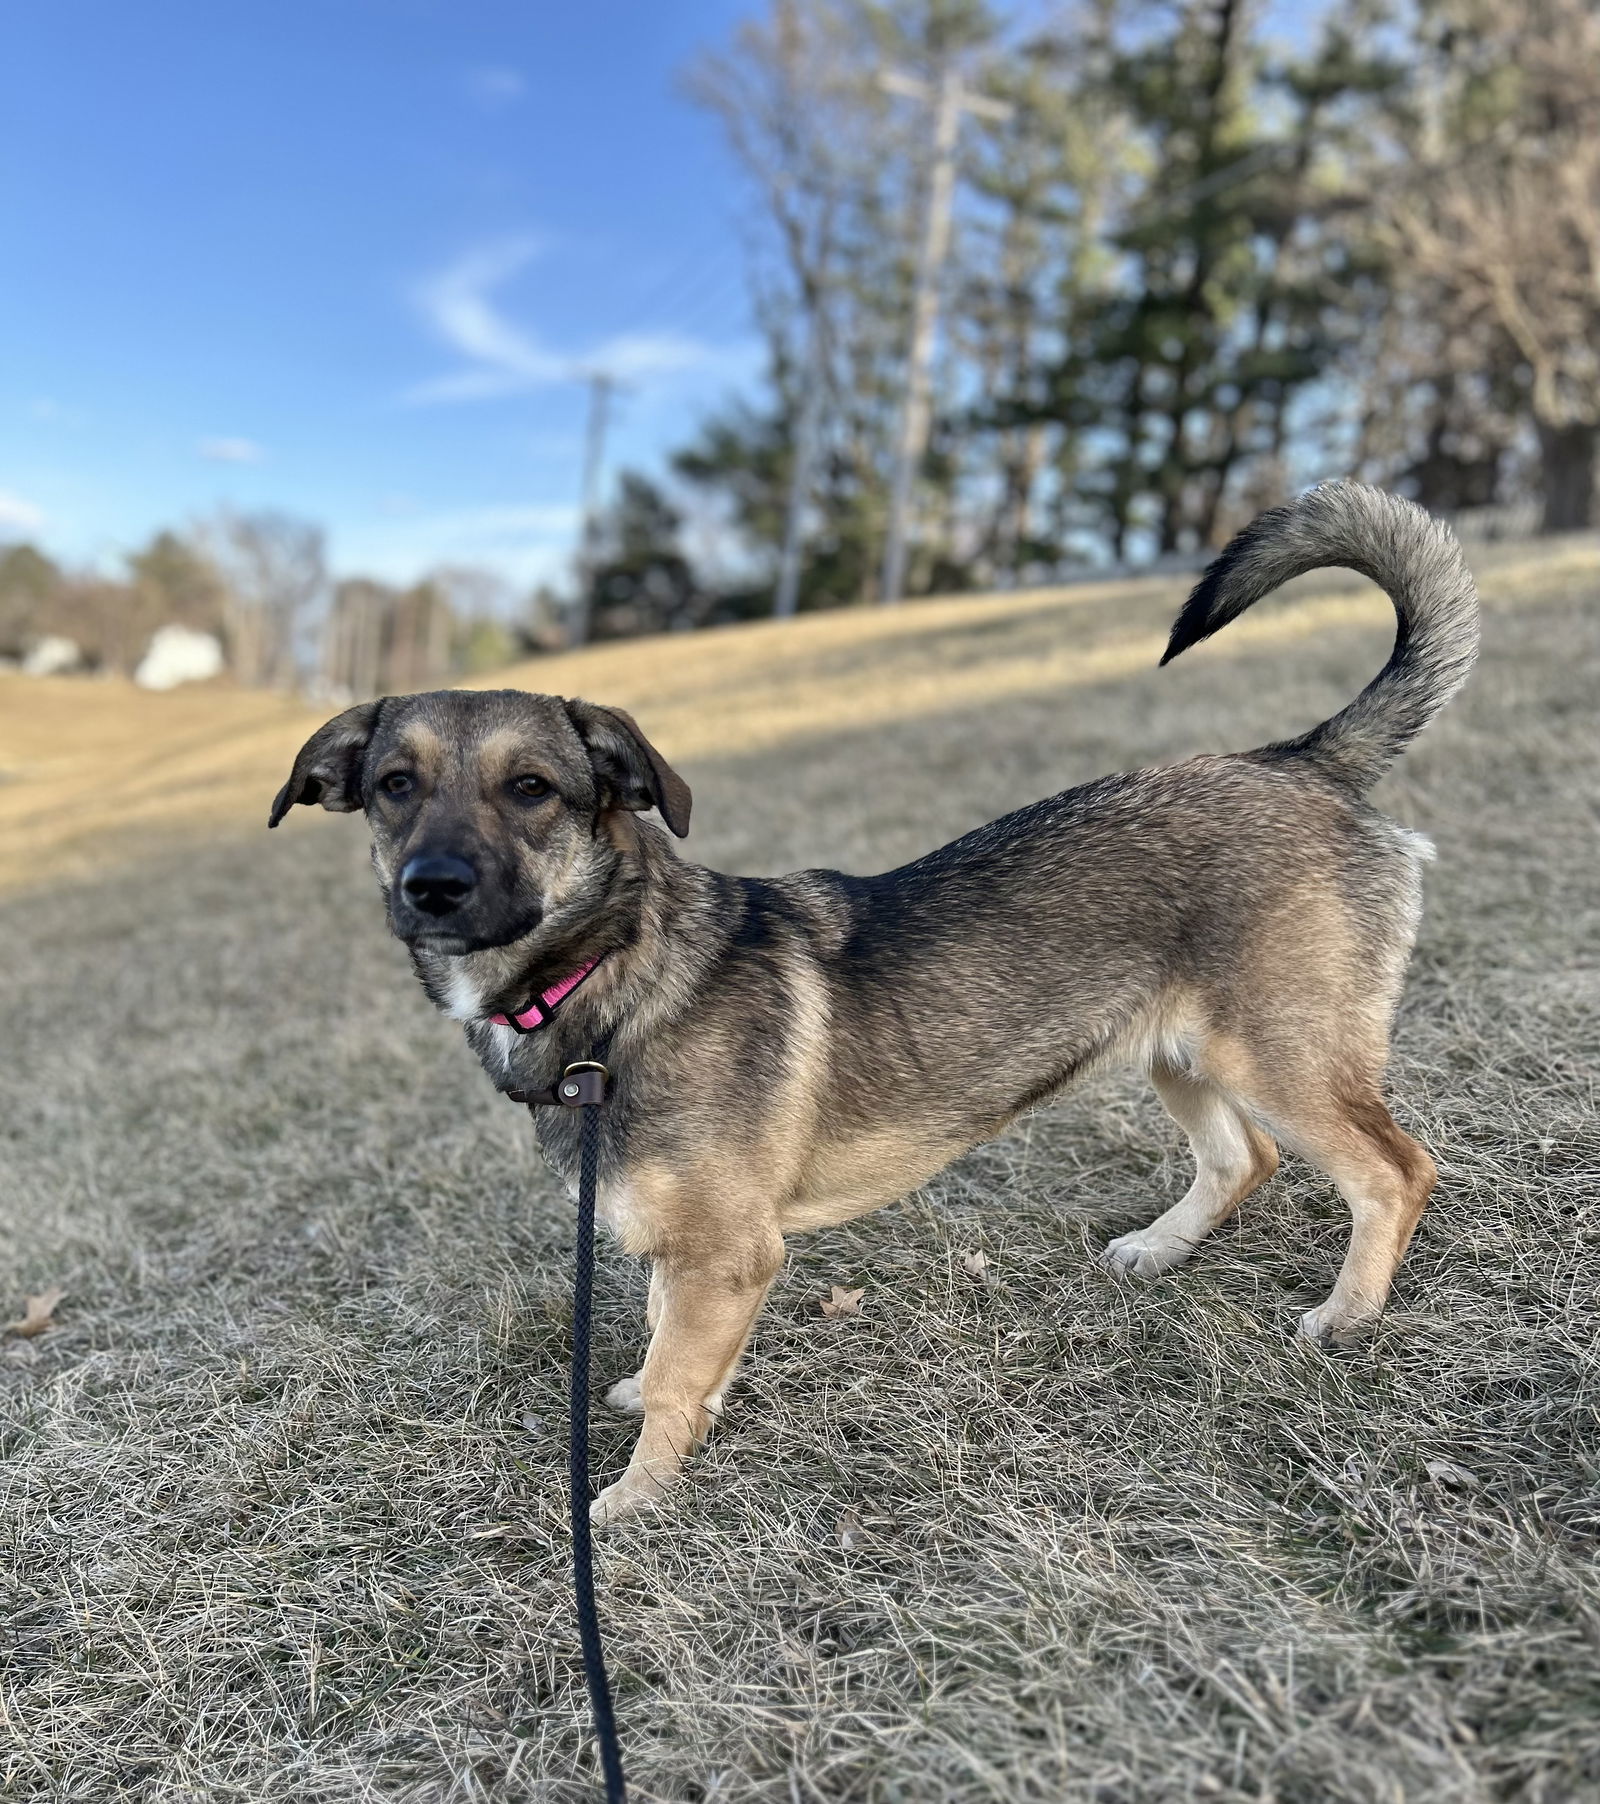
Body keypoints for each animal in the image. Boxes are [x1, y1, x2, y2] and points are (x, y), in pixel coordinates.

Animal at [272, 483, 1479, 1522]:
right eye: (393, 786)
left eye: (531, 789)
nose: (432, 888)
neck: (612, 977)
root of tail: (1300, 761)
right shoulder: (693, 1252)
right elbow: (668, 1342)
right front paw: (657, 1403)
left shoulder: (727, 1250)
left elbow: (676, 1378)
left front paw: (637, 1495)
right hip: (1177, 1049)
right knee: (1244, 1158)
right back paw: (1161, 1248)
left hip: (1278, 1055)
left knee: (1394, 1170)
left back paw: (1349, 1312)